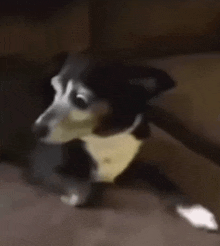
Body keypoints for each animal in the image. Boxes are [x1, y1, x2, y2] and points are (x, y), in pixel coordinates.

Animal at [31, 52, 218, 232]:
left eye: (80, 100)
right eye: (54, 90)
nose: (35, 130)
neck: (104, 138)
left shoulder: (137, 164)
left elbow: (165, 180)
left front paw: (197, 212)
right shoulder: (43, 168)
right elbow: (83, 192)